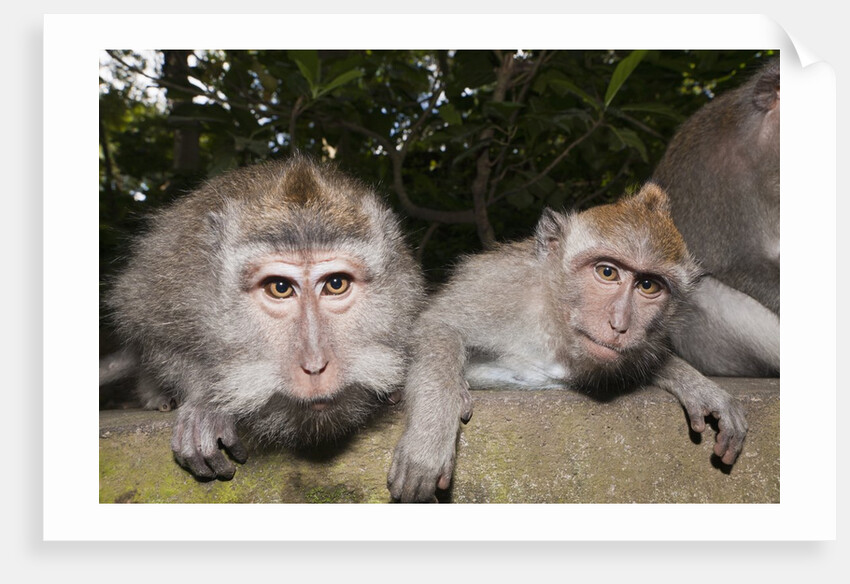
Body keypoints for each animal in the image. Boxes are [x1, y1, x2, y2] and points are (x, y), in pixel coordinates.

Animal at [100, 155, 425, 481]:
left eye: (336, 284)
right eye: (279, 288)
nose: (315, 366)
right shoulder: (170, 288)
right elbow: (152, 333)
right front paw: (207, 400)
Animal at [387, 183, 748, 503]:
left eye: (648, 286)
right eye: (607, 272)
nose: (619, 324)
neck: (554, 316)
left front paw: (694, 383)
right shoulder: (500, 286)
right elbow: (436, 325)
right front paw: (430, 436)